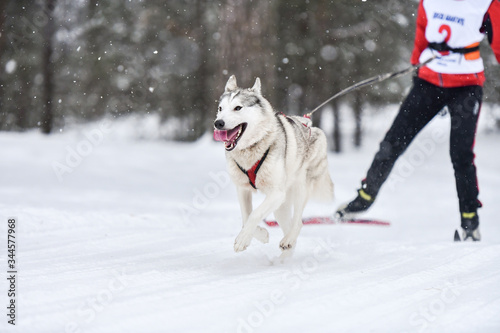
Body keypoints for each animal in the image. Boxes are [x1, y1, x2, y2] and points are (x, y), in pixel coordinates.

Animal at [214, 76, 334, 254]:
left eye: (238, 108)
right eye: (220, 108)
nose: (218, 123)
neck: (252, 148)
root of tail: (312, 126)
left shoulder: (276, 193)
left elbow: (254, 214)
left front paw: (243, 239)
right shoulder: (242, 190)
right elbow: (245, 216)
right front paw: (260, 235)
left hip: (298, 188)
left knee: (298, 222)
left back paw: (288, 240)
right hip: (280, 208)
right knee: (289, 229)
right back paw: (285, 251)